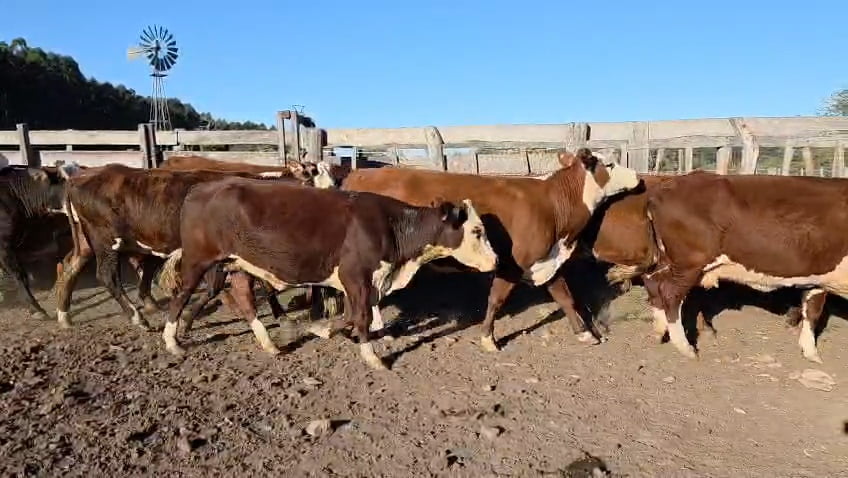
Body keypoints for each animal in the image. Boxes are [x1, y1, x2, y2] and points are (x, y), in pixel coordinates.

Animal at [52, 164, 303, 330]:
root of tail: (80, 176)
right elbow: (218, 287)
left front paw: (281, 315)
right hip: (106, 242)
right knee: (107, 276)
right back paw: (137, 318)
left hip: (87, 243)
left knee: (70, 268)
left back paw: (64, 315)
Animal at [157, 176, 499, 370]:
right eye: (477, 231)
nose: (496, 261)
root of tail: (201, 187)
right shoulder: (355, 276)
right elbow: (361, 317)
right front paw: (371, 356)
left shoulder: (359, 281)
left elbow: (354, 316)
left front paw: (324, 330)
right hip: (198, 259)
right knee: (181, 295)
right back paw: (172, 342)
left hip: (239, 263)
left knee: (243, 297)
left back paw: (269, 344)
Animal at [339, 148, 640, 351]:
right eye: (609, 164)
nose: (637, 176)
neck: (553, 204)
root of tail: (360, 173)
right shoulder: (512, 264)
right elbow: (496, 299)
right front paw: (488, 338)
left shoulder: (546, 261)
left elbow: (565, 297)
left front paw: (585, 333)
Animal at [642, 171, 847, 363]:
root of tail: (668, 185)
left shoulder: (818, 279)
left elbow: (812, 312)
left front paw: (810, 351)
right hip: (690, 262)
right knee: (670, 293)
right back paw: (686, 348)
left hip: (667, 259)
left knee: (652, 281)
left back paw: (659, 331)